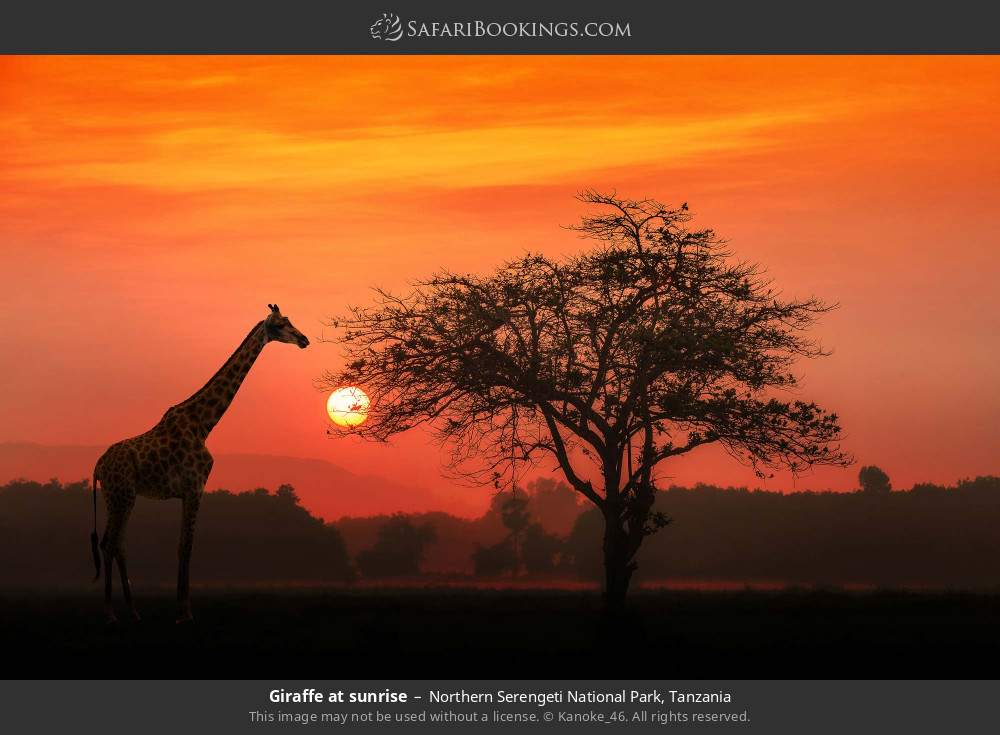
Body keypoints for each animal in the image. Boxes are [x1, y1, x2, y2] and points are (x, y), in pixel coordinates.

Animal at [90, 304, 310, 624]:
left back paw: (133, 610)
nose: (304, 340)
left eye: (289, 321)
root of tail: (97, 466)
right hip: (121, 495)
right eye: (281, 325)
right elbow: (186, 546)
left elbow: (183, 545)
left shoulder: (189, 491)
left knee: (118, 543)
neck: (204, 424)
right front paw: (185, 612)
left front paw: (181, 610)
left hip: (118, 497)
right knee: (109, 543)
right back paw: (109, 613)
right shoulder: (195, 488)